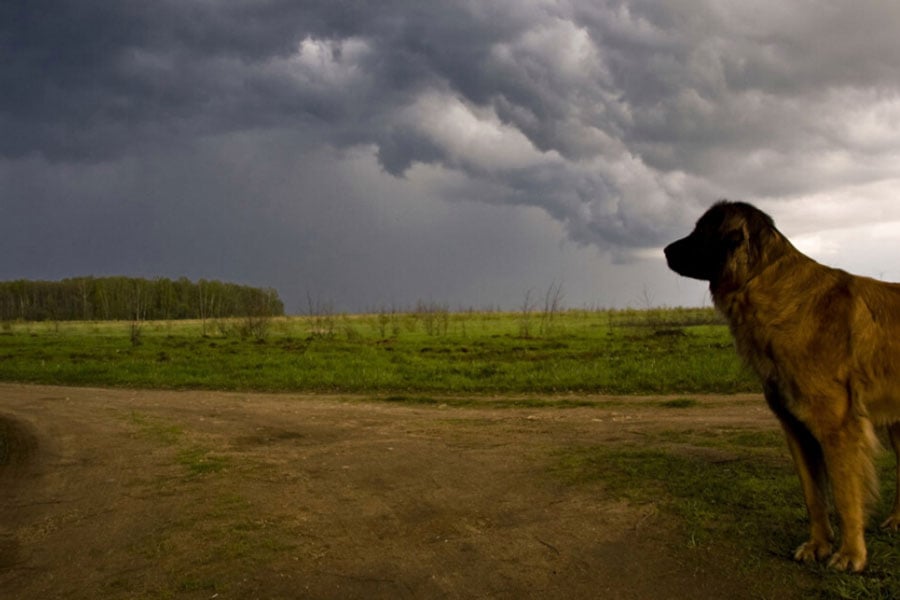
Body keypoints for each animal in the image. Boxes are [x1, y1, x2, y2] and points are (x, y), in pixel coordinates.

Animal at [660, 200, 900, 572]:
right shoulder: (795, 428)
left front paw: (850, 555)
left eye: (702, 231)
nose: (665, 250)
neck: (764, 284)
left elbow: (845, 495)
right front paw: (818, 546)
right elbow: (814, 496)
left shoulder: (838, 428)